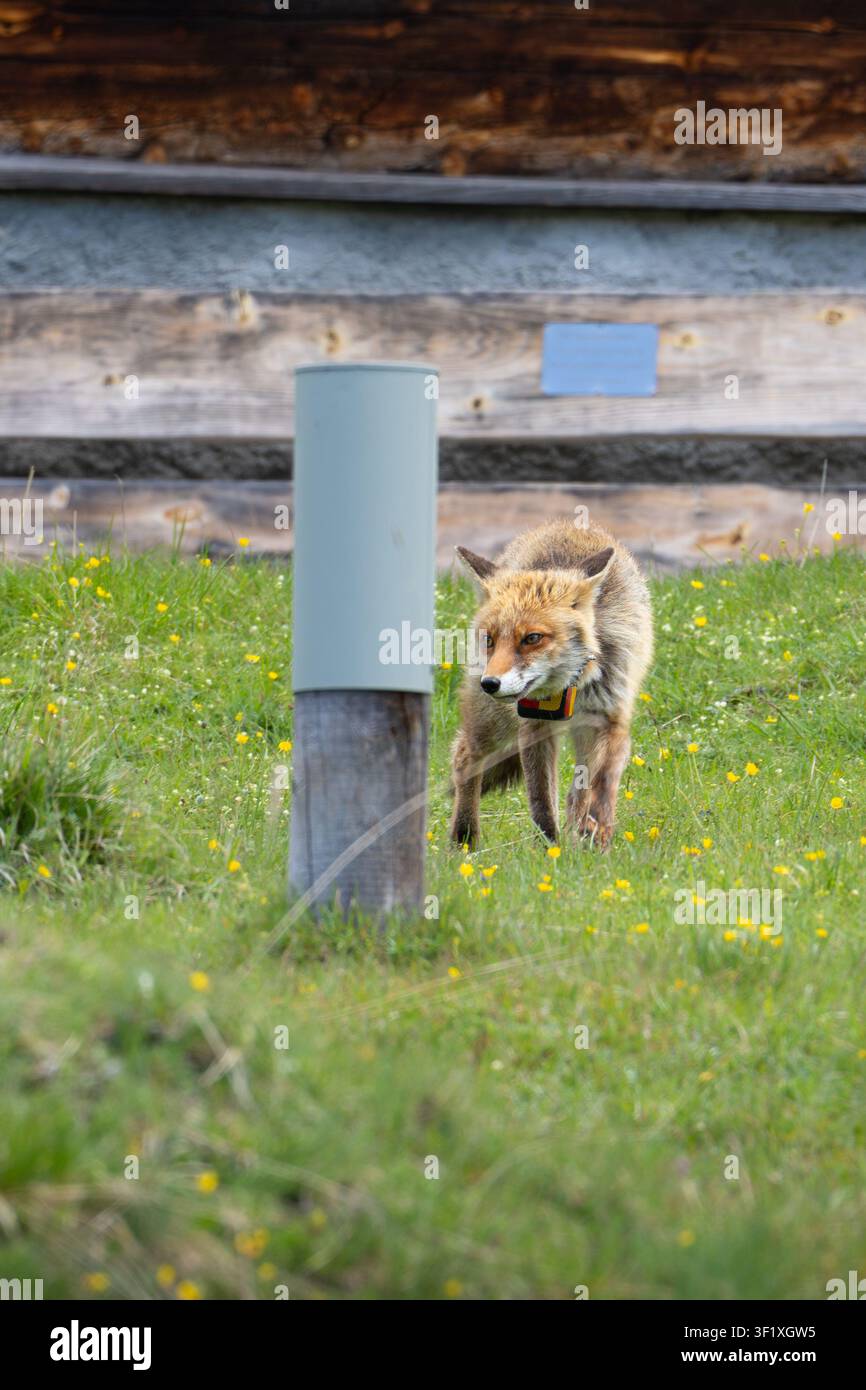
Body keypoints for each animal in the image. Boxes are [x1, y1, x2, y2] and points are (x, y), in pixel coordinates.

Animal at [450, 518, 653, 849]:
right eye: (490, 640)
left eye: (532, 638)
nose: (490, 683)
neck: (573, 685)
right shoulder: (533, 725)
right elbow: (542, 800)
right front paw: (550, 849)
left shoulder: (610, 716)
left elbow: (601, 780)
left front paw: (595, 830)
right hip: (493, 723)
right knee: (464, 756)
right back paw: (464, 839)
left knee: (578, 789)